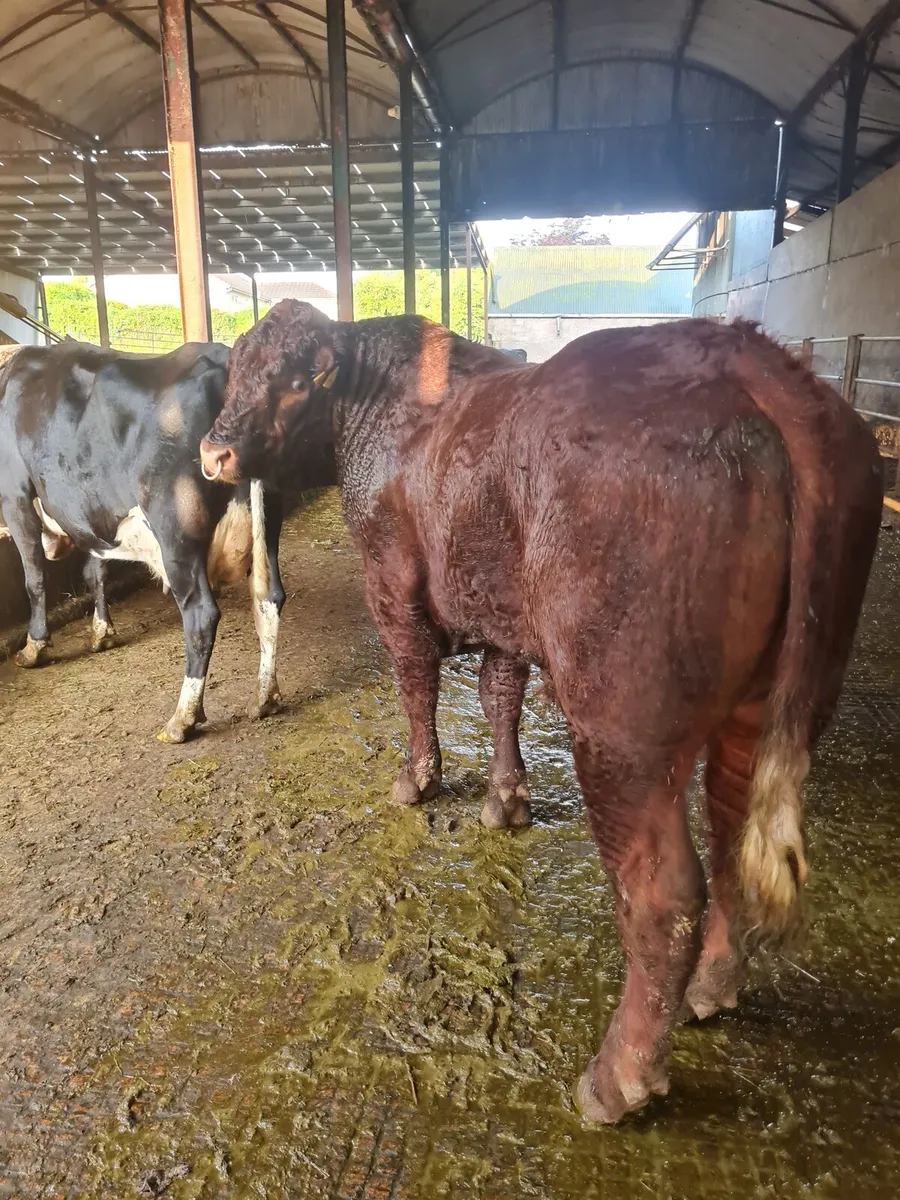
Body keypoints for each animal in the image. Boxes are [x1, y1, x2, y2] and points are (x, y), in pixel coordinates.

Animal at [0, 340, 287, 743]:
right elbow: (95, 570)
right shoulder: (93, 511)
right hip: (268, 519)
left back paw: (182, 718)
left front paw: (33, 647)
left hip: (176, 532)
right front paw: (102, 632)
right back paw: (264, 698)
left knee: (201, 613)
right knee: (268, 598)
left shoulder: (15, 495)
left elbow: (34, 578)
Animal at [199, 301, 883, 1124]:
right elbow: (500, 695)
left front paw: (417, 780)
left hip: (619, 727)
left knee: (663, 891)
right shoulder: (500, 613)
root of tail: (753, 361)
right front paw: (506, 799)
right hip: (768, 705)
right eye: (236, 367)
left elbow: (416, 682)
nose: (214, 452)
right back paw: (711, 989)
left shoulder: (391, 586)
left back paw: (618, 1079)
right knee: (732, 840)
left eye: (296, 379)